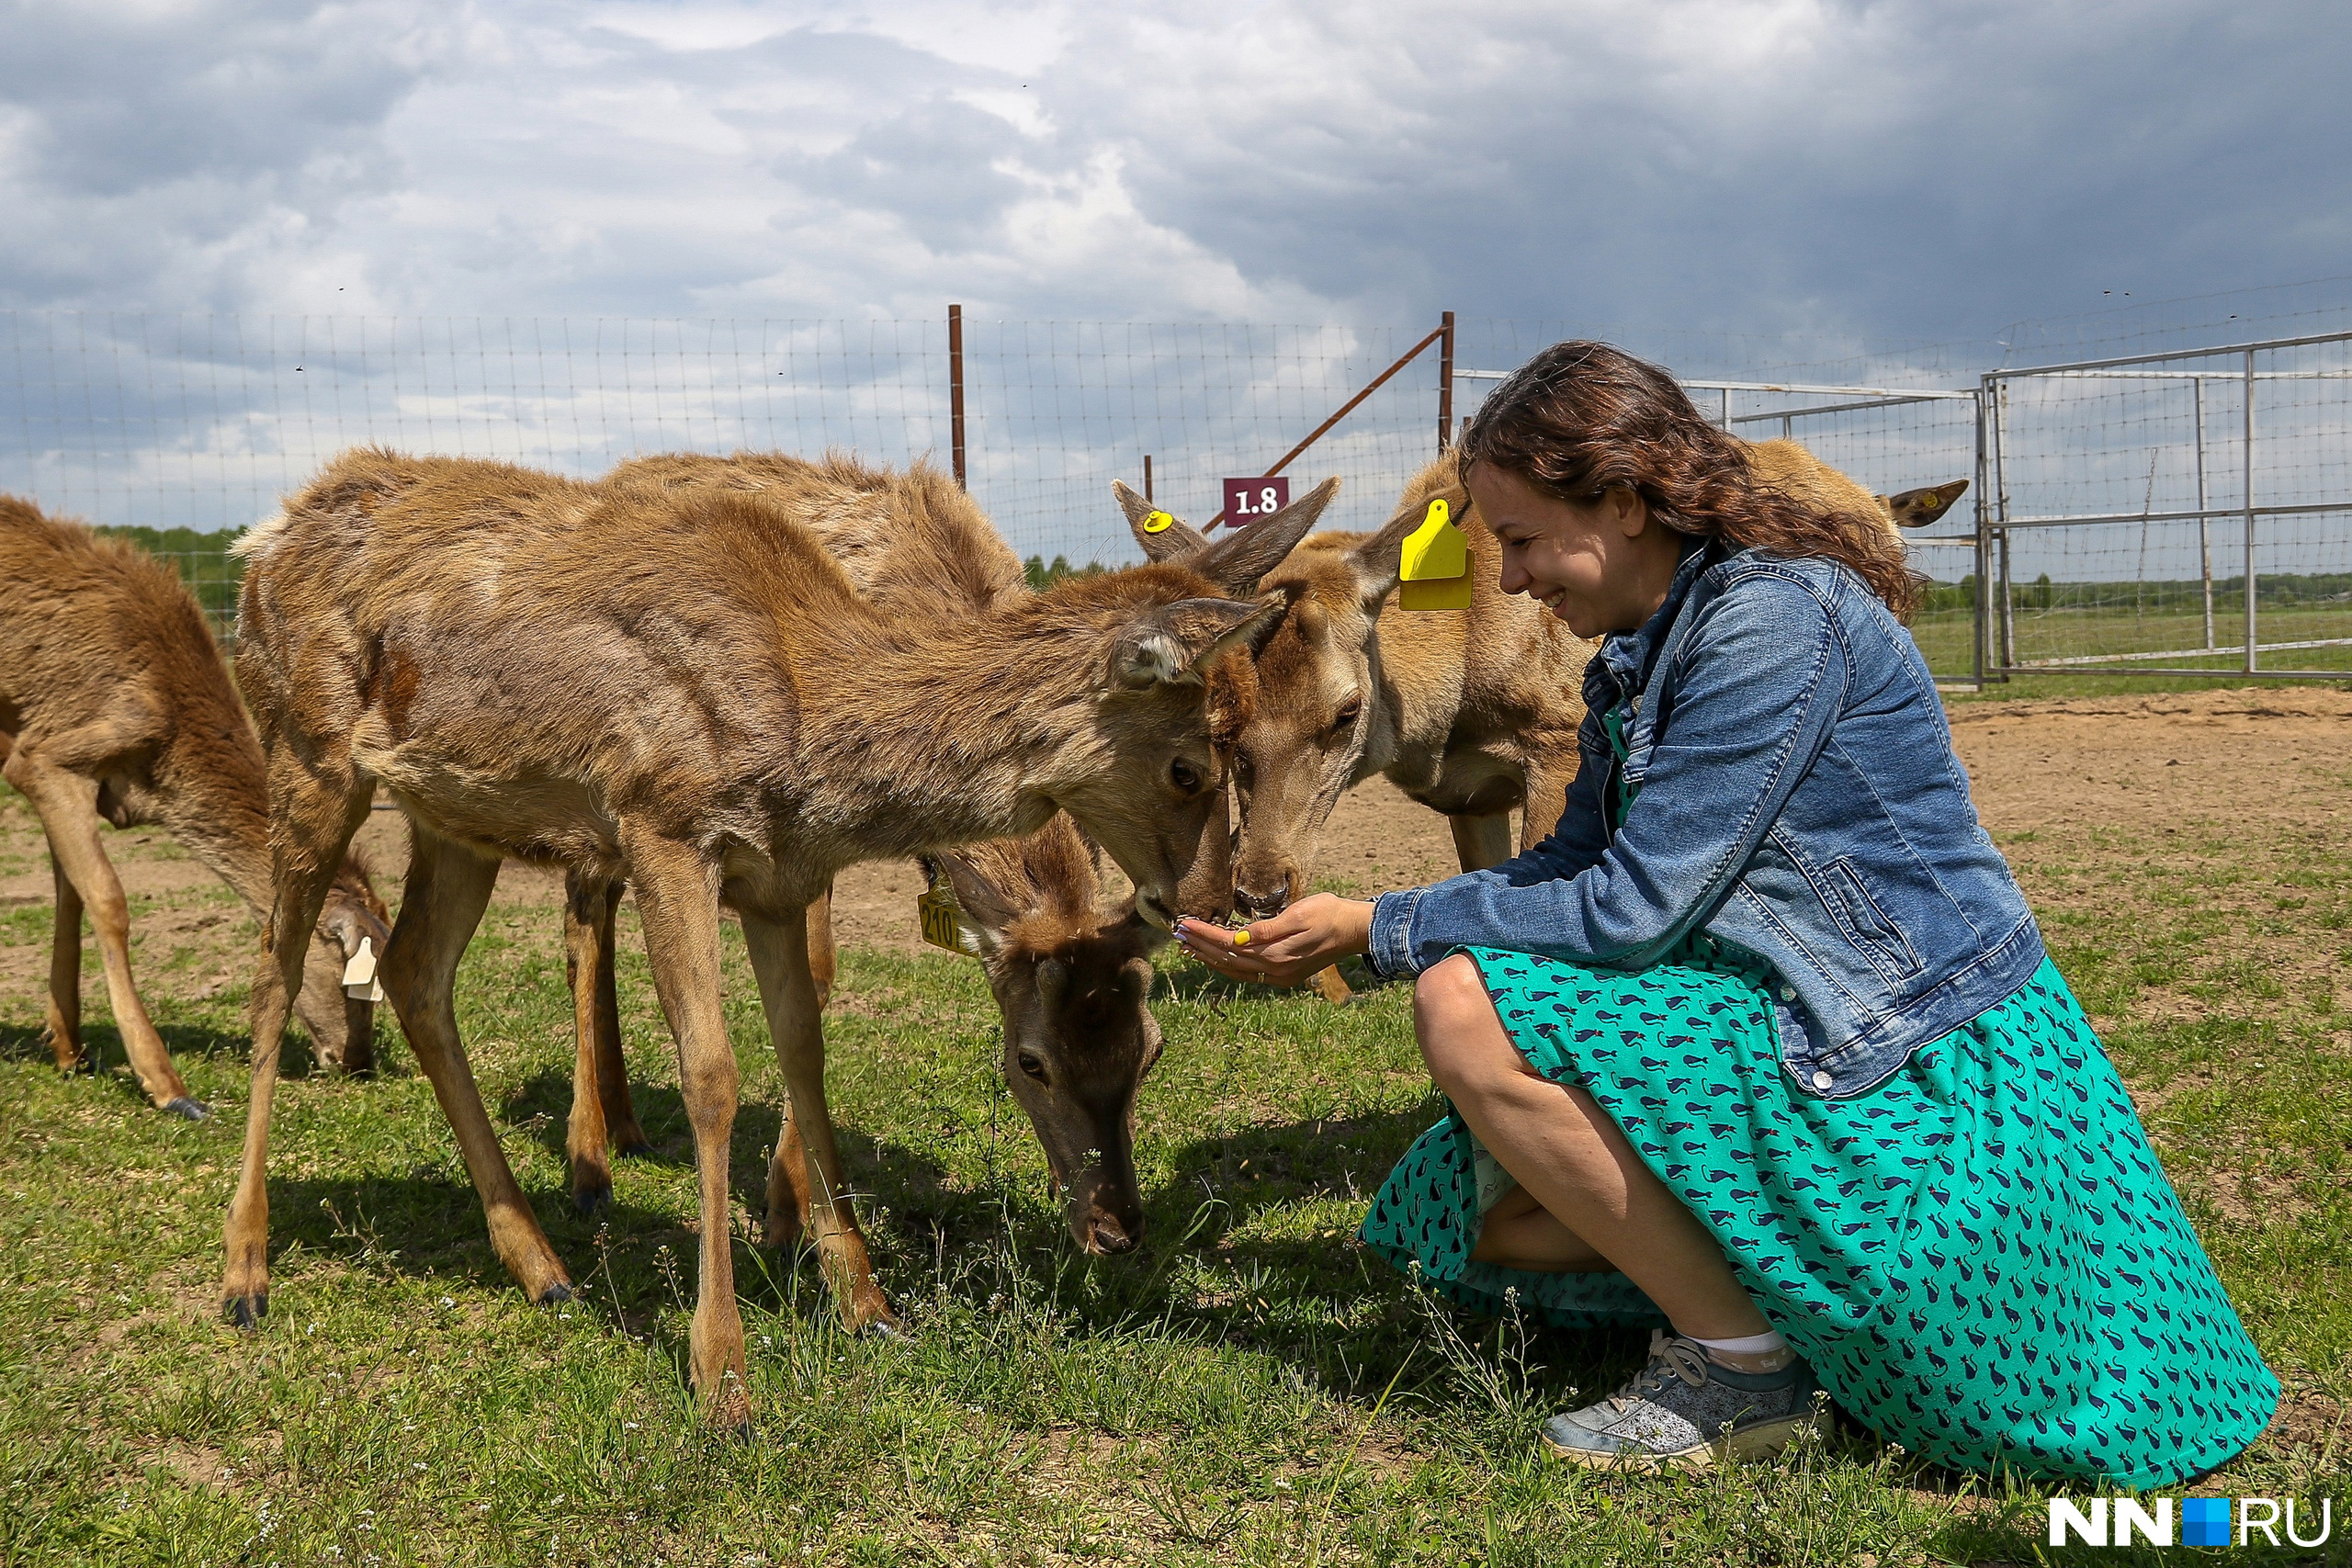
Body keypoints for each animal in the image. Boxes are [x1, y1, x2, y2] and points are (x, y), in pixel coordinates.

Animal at [0, 495, 390, 1109]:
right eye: (356, 975)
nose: (358, 1062)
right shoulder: (42, 757)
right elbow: (107, 897)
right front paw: (166, 1084)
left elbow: (70, 892)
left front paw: (69, 1046)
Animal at [227, 444, 1336, 1419]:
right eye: (1193, 762)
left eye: (1150, 1052)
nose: (1217, 898)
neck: (812, 706)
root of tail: (262, 539)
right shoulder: (663, 821)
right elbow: (715, 1074)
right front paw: (723, 1372)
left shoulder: (776, 874)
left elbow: (803, 1048)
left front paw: (864, 1299)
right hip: (309, 754)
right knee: (274, 972)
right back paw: (248, 1267)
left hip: (455, 815)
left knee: (416, 971)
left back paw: (541, 1263)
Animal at [1119, 439, 1966, 1006]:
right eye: (1225, 723)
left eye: (1345, 711)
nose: (1260, 889)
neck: (1453, 702)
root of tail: (1883, 509)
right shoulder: (1470, 794)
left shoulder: (1557, 735)